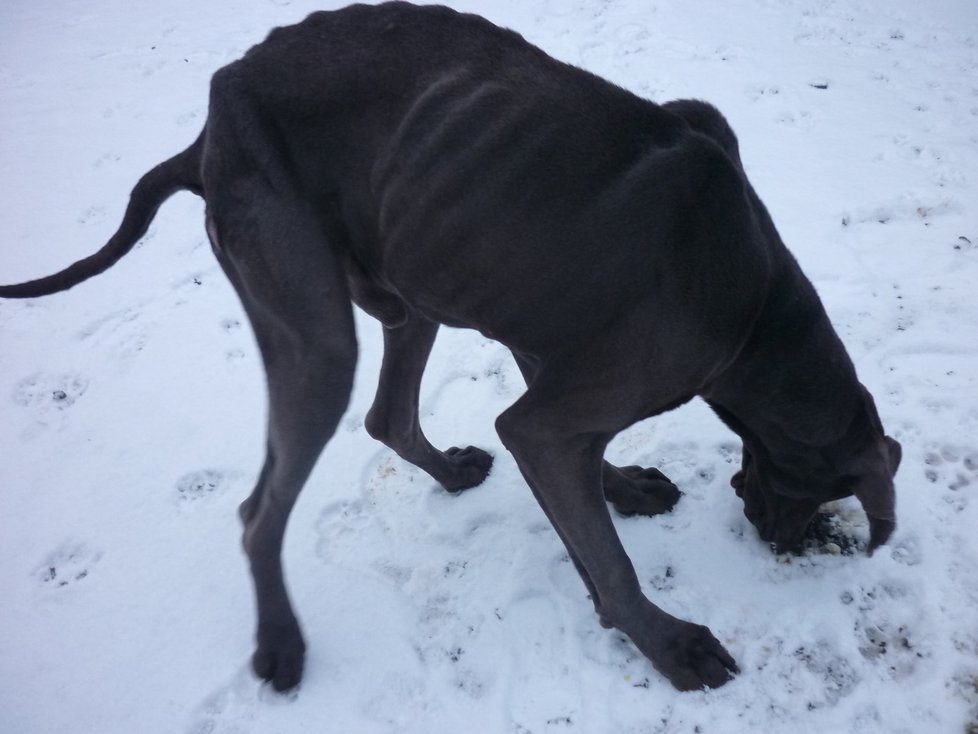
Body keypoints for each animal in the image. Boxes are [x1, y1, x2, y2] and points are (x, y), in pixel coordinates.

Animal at [0, 2, 900, 696]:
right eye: (828, 489)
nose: (780, 541)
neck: (759, 312)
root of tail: (209, 128)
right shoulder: (560, 408)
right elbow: (607, 564)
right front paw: (669, 643)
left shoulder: (550, 344)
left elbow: (580, 467)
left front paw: (622, 489)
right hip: (316, 331)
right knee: (262, 508)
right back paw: (281, 645)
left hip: (412, 280)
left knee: (388, 418)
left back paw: (449, 471)